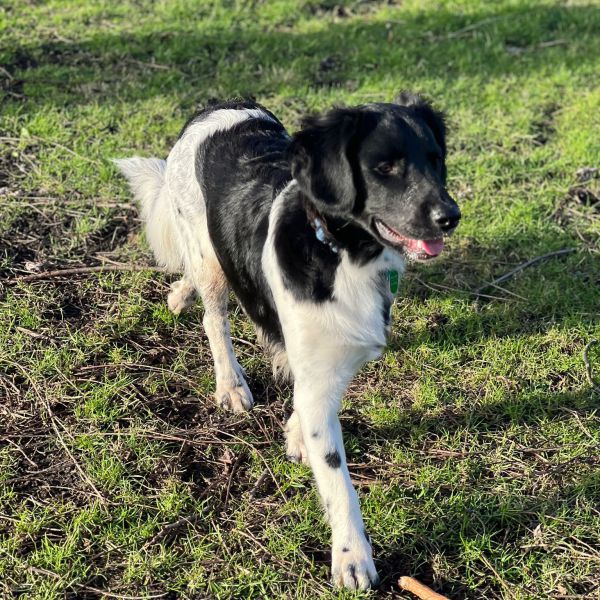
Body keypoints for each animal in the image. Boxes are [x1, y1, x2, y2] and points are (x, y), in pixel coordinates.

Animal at [116, 94, 460, 592]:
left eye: (435, 160)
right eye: (385, 167)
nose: (450, 217)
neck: (342, 254)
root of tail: (220, 106)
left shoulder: (326, 364)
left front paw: (296, 434)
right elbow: (339, 483)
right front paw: (351, 557)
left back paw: (181, 293)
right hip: (211, 260)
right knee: (214, 321)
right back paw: (230, 383)